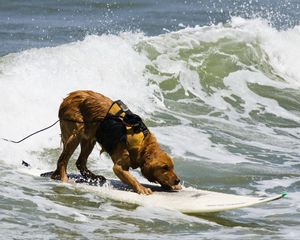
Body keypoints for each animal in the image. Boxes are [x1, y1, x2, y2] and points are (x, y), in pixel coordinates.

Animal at [51, 91, 180, 194]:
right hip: (76, 133)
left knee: (79, 162)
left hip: (90, 138)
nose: (177, 180)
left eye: (172, 167)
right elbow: (132, 179)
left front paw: (173, 186)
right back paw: (64, 179)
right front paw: (141, 188)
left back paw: (92, 177)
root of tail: (68, 97)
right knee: (63, 160)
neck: (143, 145)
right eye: (165, 167)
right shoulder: (118, 167)